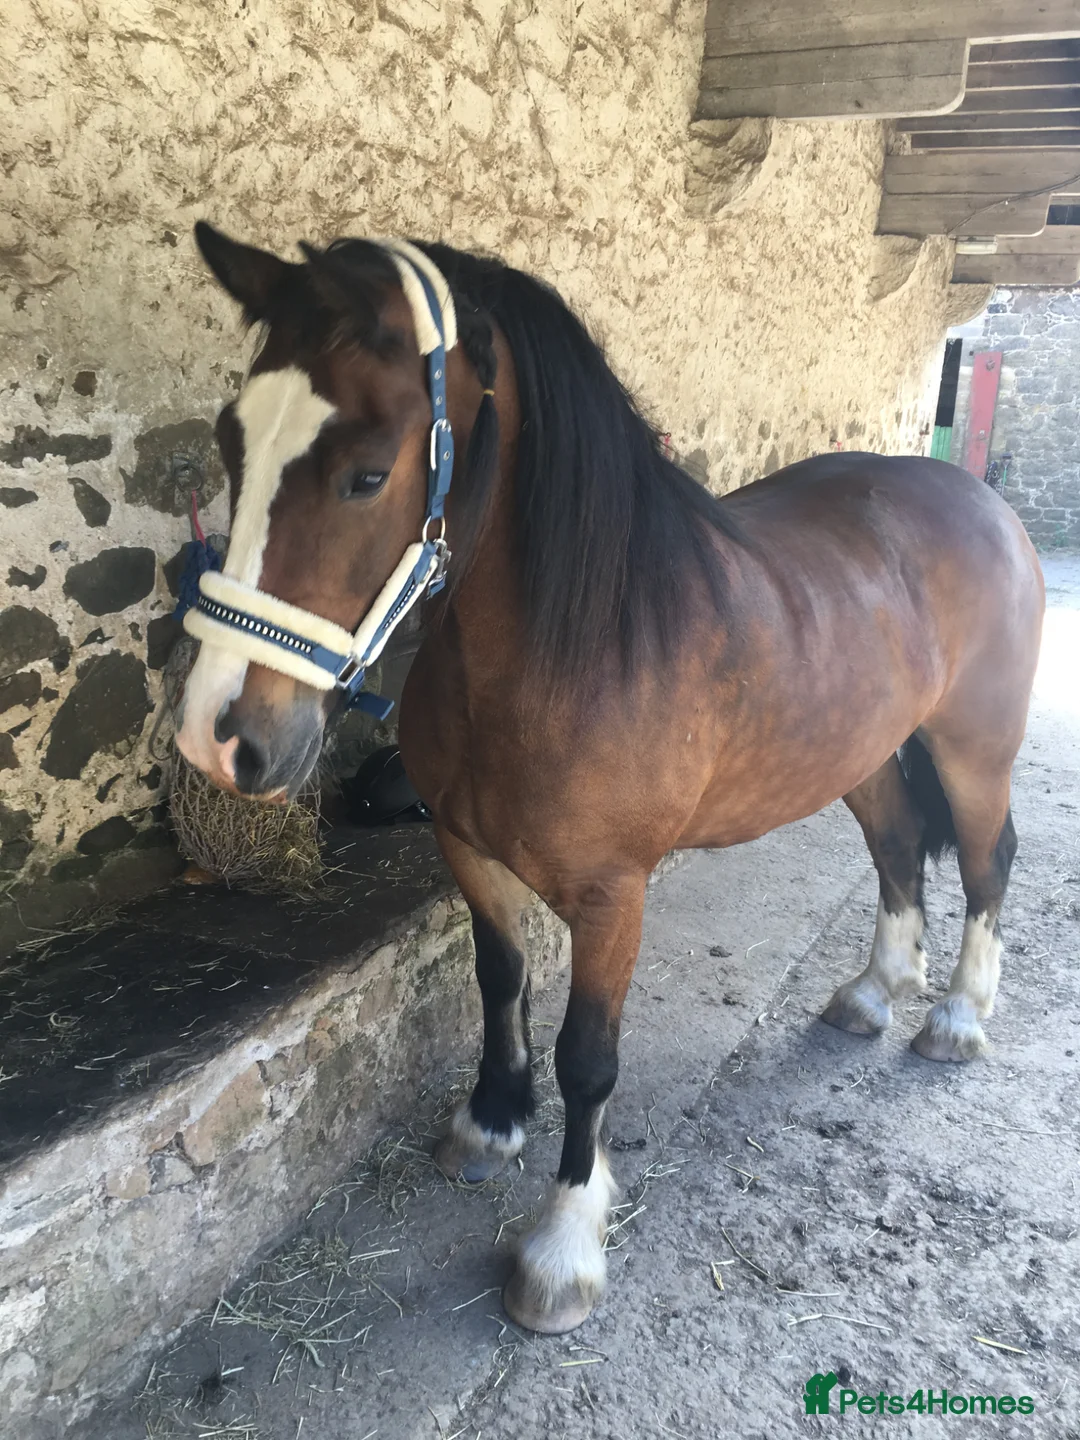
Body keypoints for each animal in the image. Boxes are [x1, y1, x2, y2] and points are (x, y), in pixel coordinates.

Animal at [176, 223, 1044, 1336]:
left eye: (367, 476)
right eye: (232, 441)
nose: (220, 737)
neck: (569, 648)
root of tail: (979, 499)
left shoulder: (611, 896)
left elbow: (587, 1058)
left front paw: (561, 1249)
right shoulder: (466, 850)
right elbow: (498, 980)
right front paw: (491, 1121)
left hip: (974, 750)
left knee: (986, 863)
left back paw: (959, 1017)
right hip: (860, 755)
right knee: (897, 845)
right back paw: (872, 992)